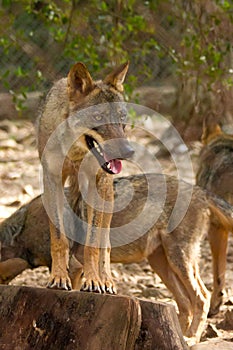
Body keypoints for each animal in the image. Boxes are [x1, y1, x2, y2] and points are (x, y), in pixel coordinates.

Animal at [37, 62, 134, 292]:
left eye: (121, 118)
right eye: (98, 117)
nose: (128, 152)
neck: (74, 152)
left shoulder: (95, 184)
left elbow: (93, 244)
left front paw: (93, 281)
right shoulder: (52, 181)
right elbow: (59, 239)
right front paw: (58, 277)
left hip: (105, 194)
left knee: (105, 244)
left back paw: (106, 281)